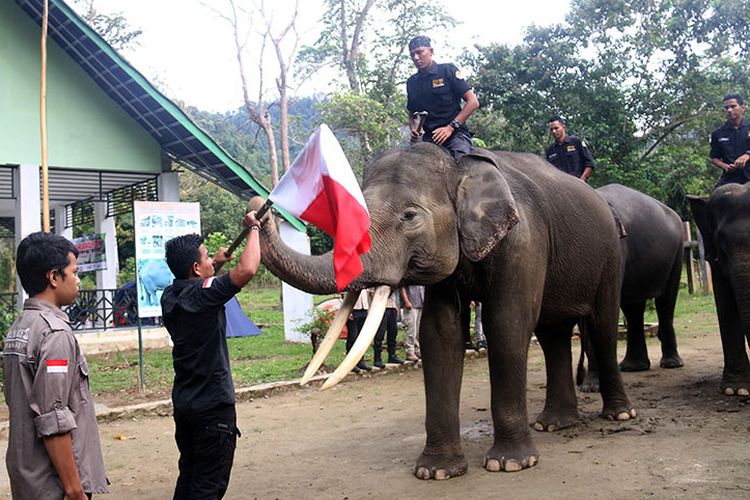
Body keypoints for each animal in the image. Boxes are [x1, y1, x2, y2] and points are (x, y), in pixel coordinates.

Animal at [250, 143, 636, 478]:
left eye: (409, 216)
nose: (258, 209)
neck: (459, 167)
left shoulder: (523, 241)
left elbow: (507, 325)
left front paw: (510, 464)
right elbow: (440, 334)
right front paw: (435, 471)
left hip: (611, 255)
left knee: (601, 324)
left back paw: (619, 415)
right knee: (554, 334)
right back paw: (553, 423)